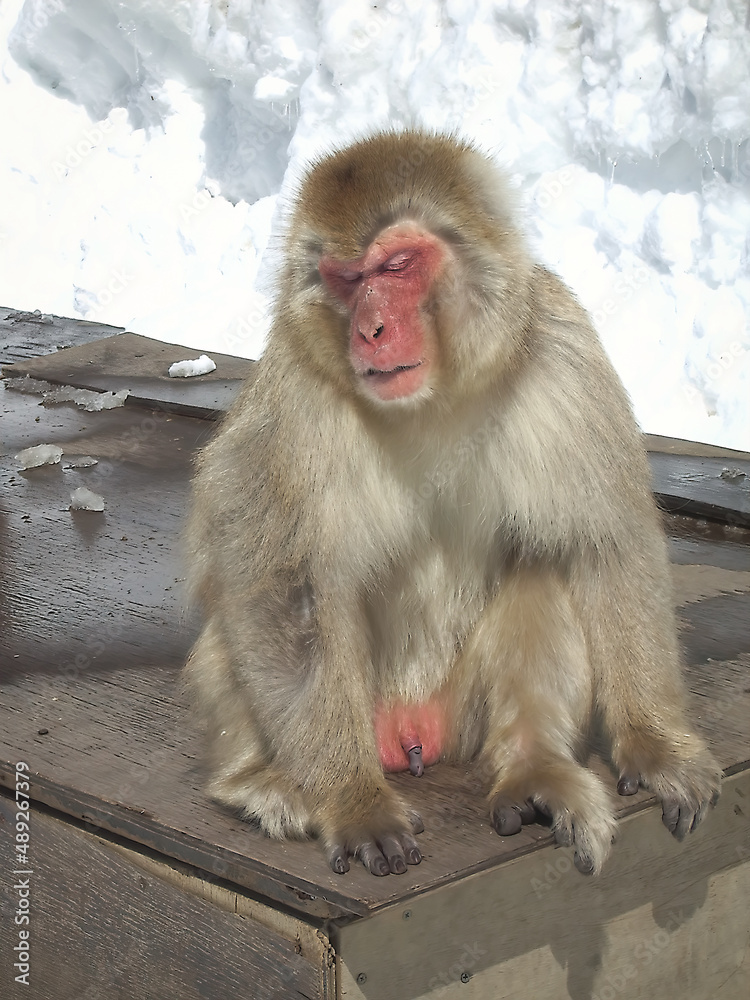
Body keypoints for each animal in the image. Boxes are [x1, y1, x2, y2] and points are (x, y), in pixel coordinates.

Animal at [184, 130, 721, 878]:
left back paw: (534, 769)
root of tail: (409, 731)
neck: (432, 400)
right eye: (346, 279)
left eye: (398, 265)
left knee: (545, 560)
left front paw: (654, 742)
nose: (370, 329)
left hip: (462, 714)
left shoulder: (563, 350)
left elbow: (605, 542)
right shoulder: (295, 392)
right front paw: (352, 801)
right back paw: (265, 785)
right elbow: (284, 587)